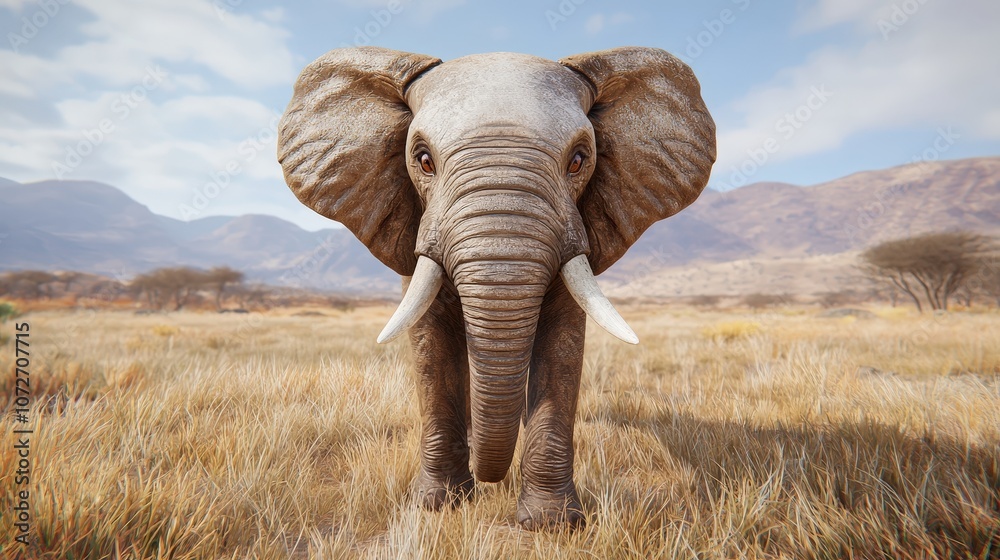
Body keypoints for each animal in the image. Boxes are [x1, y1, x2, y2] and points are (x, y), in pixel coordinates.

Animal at [277, 46, 715, 530]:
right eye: (423, 159)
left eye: (579, 160)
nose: (488, 483)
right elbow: (430, 346)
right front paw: (436, 505)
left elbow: (563, 349)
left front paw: (550, 525)